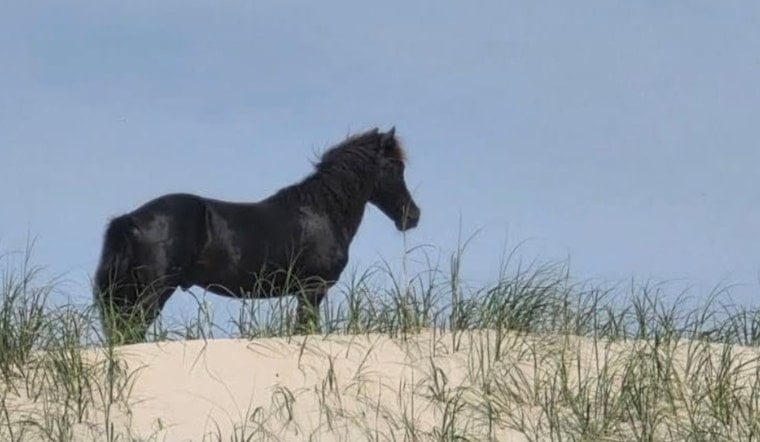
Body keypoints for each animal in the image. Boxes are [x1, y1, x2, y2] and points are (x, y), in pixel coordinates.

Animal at [93, 127, 420, 344]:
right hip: (152, 293)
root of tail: (131, 219)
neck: (322, 211)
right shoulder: (311, 290)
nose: (412, 216)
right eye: (394, 166)